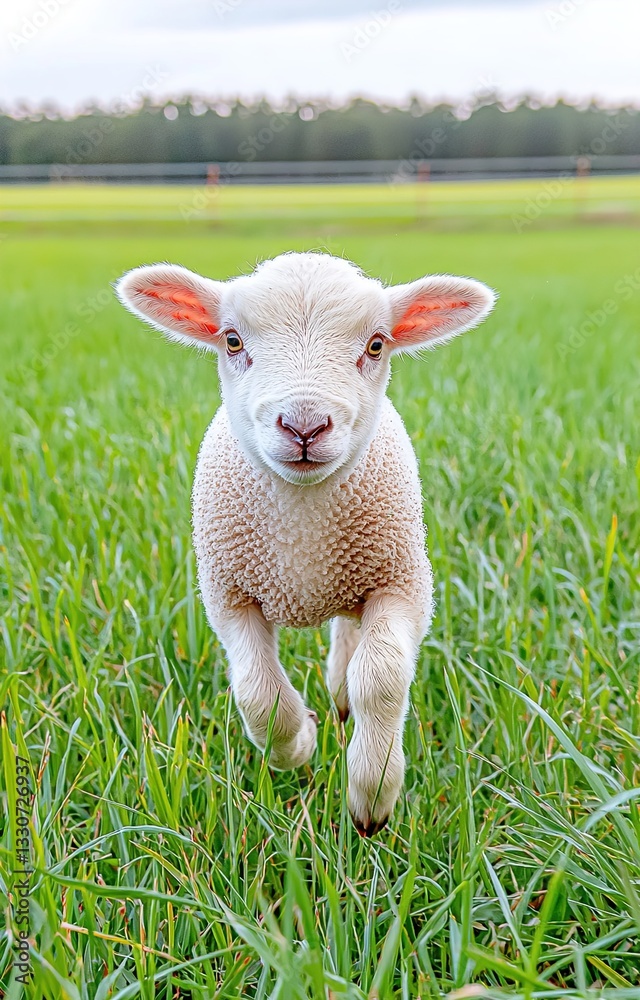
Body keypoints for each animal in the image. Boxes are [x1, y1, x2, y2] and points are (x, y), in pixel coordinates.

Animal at [116, 252, 495, 835]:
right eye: (232, 340)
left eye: (377, 345)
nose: (304, 426)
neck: (303, 531)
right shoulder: (229, 594)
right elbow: (257, 693)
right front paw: (296, 747)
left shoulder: (402, 585)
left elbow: (382, 676)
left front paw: (371, 797)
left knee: (353, 639)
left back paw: (341, 695)